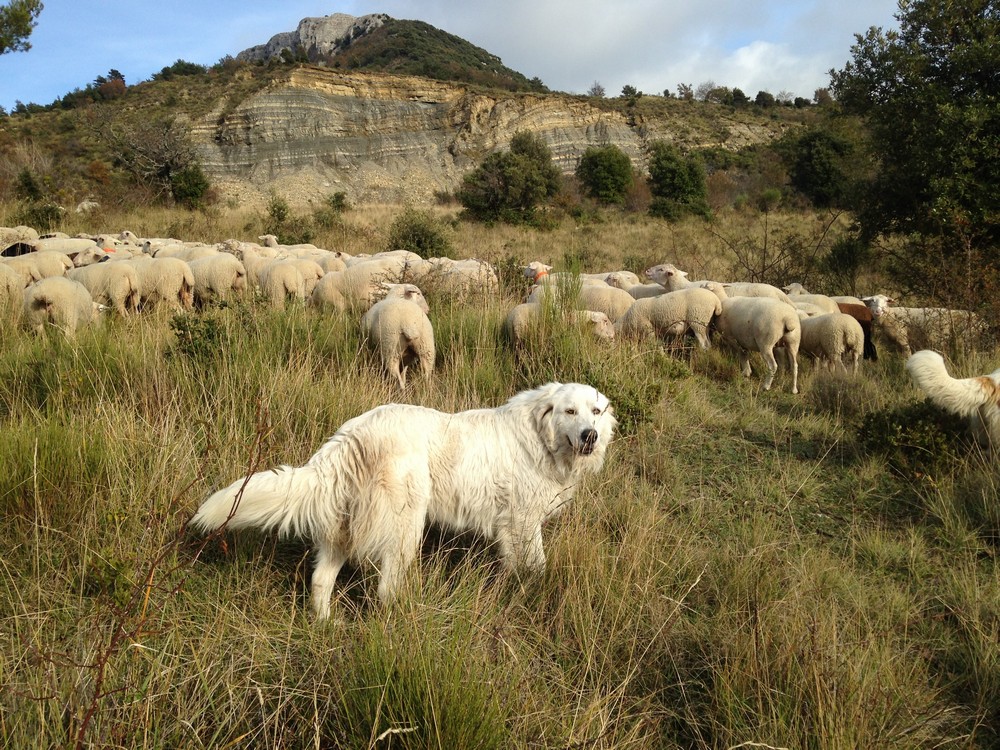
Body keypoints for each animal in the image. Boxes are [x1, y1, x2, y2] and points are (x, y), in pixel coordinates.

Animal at [189, 384, 616, 620]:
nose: (590, 435)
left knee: (320, 580)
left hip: (344, 531)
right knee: (385, 589)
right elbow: (537, 567)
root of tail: (350, 437)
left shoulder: (511, 527)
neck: (541, 439)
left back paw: (327, 624)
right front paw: (530, 592)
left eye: (596, 411)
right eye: (570, 411)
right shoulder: (521, 522)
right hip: (405, 525)